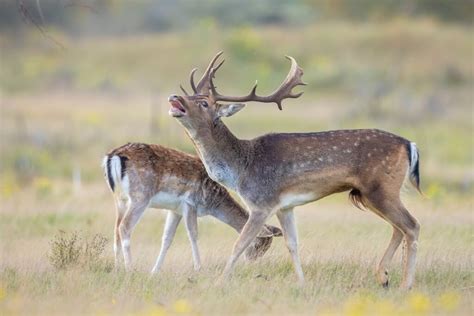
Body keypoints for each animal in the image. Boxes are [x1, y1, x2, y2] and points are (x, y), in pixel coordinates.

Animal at [101, 143, 282, 274]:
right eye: (259, 244)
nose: (251, 263)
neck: (213, 201)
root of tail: (113, 156)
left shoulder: (175, 210)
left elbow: (167, 239)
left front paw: (155, 271)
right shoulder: (190, 204)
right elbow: (193, 235)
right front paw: (199, 269)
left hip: (120, 200)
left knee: (116, 229)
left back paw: (117, 269)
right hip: (140, 198)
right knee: (124, 227)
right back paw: (130, 269)